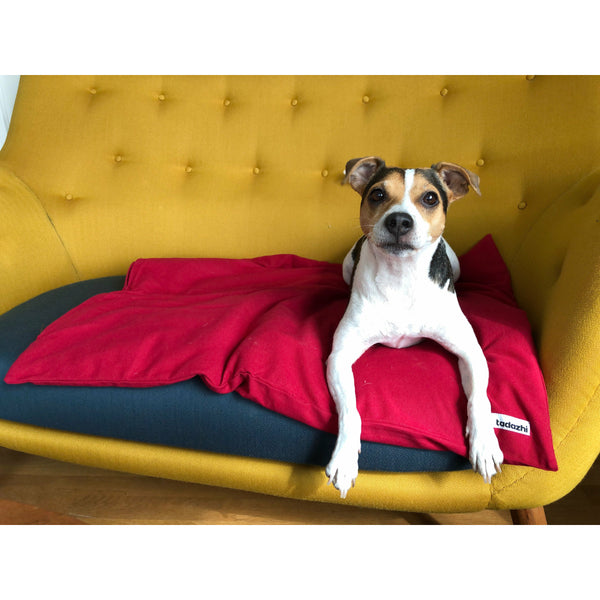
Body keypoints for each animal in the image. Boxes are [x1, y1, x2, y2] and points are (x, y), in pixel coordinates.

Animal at [326, 156, 504, 496]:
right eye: (378, 194)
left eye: (430, 198)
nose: (399, 221)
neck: (401, 276)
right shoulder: (339, 357)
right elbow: (351, 410)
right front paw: (344, 457)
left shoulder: (471, 353)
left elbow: (480, 399)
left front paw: (485, 445)